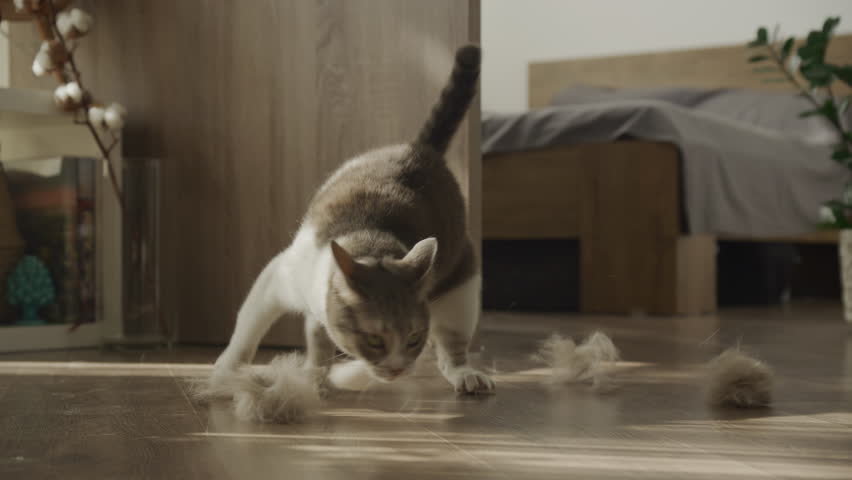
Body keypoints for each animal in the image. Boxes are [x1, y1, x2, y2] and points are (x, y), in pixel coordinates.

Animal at [210, 45, 496, 396]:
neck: (372, 240)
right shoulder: (279, 276)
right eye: (374, 340)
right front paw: (227, 371)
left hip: (463, 286)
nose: (397, 370)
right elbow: (248, 327)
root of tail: (420, 149)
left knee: (452, 348)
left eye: (413, 339)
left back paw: (465, 374)